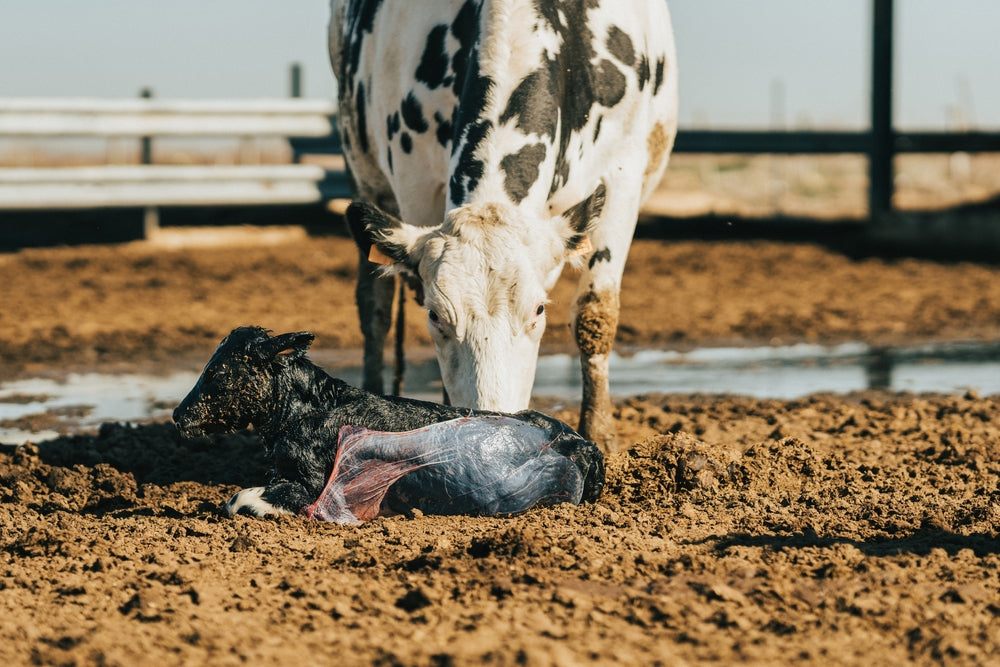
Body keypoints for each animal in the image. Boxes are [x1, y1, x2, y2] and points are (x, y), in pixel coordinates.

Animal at [329, 0, 678, 451]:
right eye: (435, 316)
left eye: (539, 309)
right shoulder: (414, 180)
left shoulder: (622, 173)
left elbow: (595, 313)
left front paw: (601, 434)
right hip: (362, 165)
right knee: (374, 306)